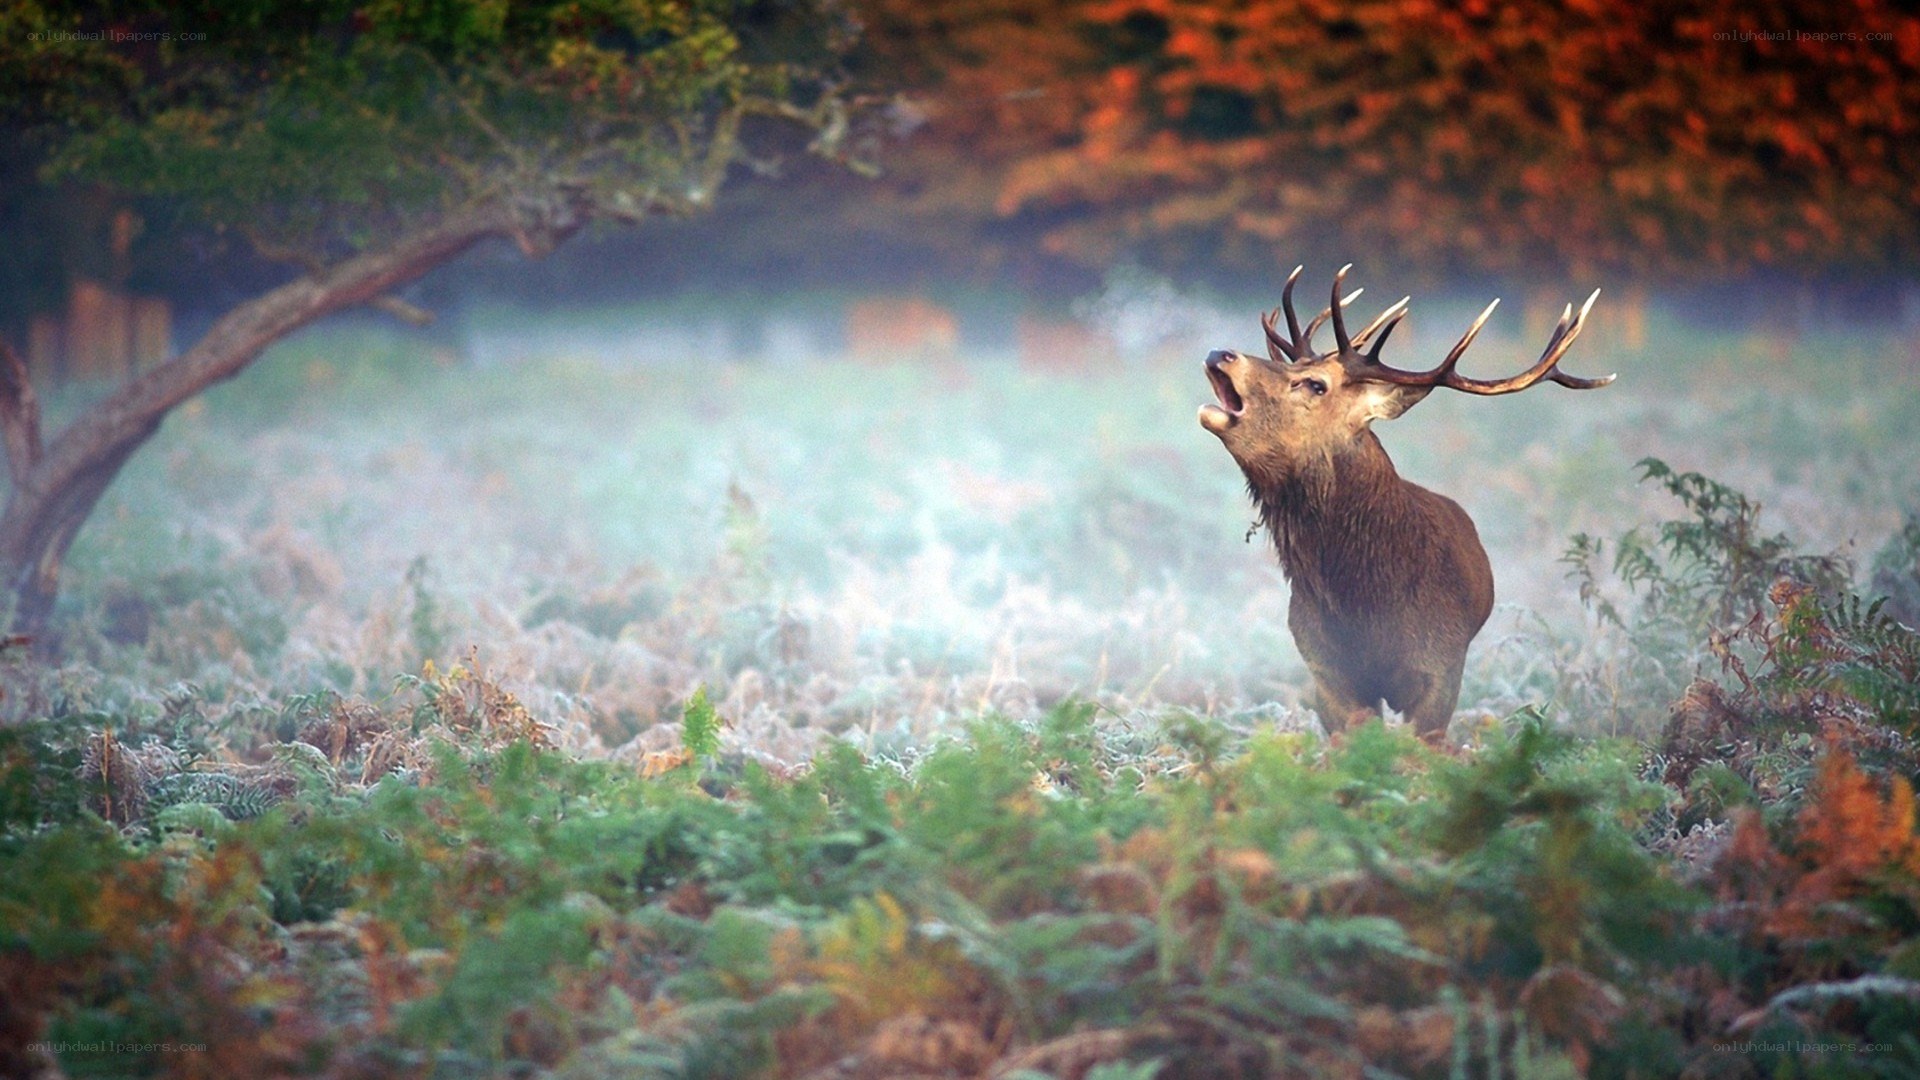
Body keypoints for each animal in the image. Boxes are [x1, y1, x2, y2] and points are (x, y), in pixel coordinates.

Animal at [1198, 265, 1612, 744]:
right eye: (1292, 366)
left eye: (1316, 384)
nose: (1221, 352)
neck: (1369, 605)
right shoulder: (1325, 672)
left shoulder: (1442, 669)